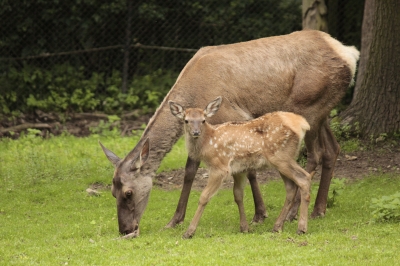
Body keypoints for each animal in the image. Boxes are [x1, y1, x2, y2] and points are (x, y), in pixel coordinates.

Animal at [169, 96, 312, 238]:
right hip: (282, 159)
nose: (196, 132)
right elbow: (238, 195)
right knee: (291, 187)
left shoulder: (220, 167)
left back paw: (301, 228)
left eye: (203, 120)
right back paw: (277, 226)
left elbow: (204, 197)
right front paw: (244, 227)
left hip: (281, 156)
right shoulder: (239, 170)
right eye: (186, 120)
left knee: (304, 178)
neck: (208, 143)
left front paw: (189, 232)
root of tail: (303, 124)